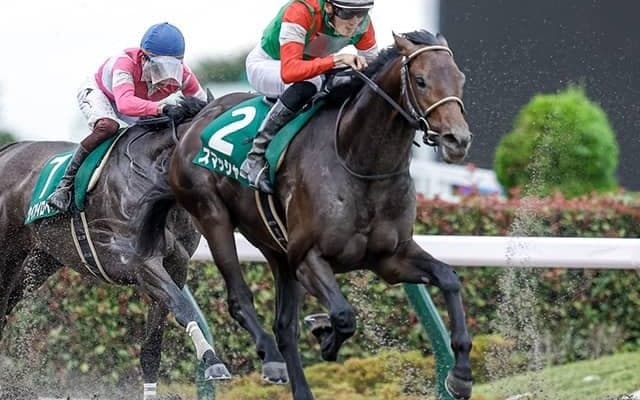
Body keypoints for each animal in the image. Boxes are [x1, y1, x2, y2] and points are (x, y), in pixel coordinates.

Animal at [0, 96, 231, 399]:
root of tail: (8, 150)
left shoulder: (176, 267)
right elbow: (183, 307)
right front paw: (214, 363)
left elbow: (152, 347)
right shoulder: (141, 264)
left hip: (38, 260)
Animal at [131, 30, 474, 400]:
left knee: (284, 327)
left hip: (274, 246)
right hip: (213, 216)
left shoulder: (390, 258)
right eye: (421, 80)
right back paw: (270, 358)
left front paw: (461, 375)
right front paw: (324, 335)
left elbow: (449, 278)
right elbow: (344, 315)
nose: (457, 140)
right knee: (240, 298)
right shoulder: (309, 257)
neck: (358, 163)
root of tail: (197, 119)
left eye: (460, 79)